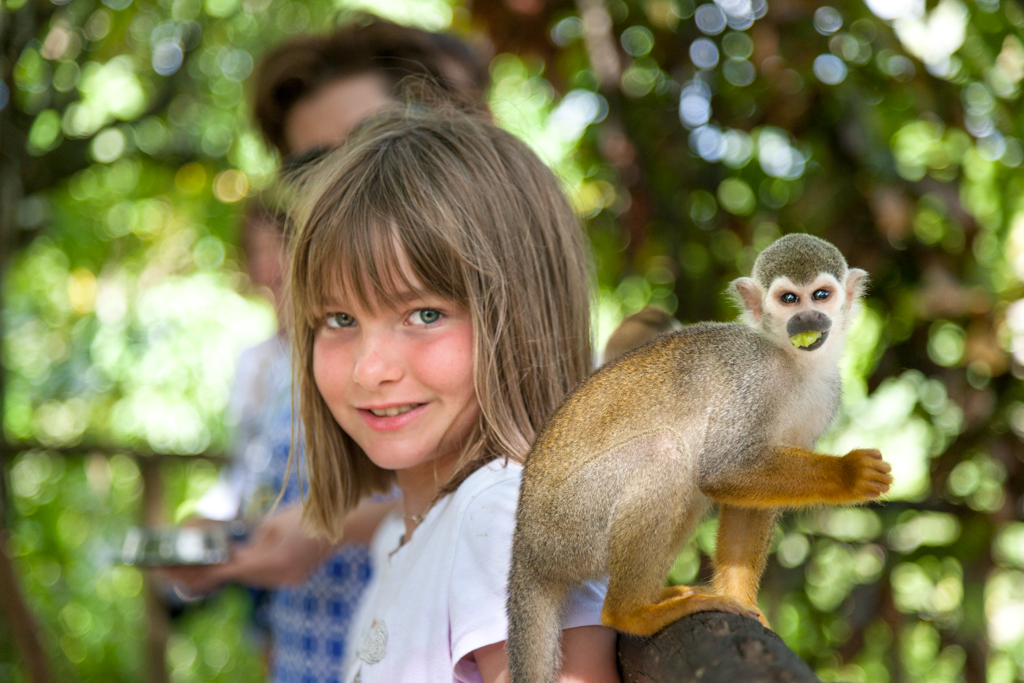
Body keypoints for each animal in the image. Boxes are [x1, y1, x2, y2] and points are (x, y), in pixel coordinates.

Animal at [506, 233, 893, 683]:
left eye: (821, 295)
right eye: (788, 299)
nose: (807, 320)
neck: (792, 360)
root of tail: (525, 545)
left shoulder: (825, 396)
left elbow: (746, 498)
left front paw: (742, 602)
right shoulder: (752, 382)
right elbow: (722, 470)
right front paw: (847, 473)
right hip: (570, 525)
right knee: (665, 456)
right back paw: (631, 613)